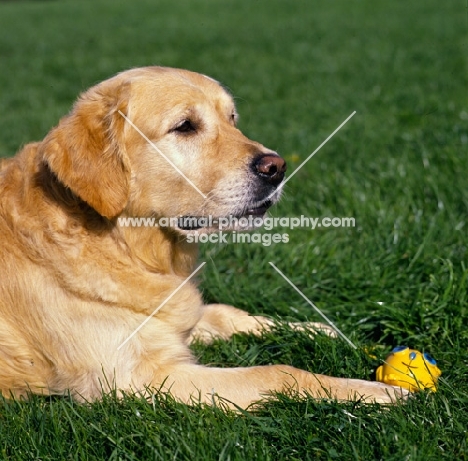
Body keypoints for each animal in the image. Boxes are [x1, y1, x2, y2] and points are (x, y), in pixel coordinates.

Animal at [0, 66, 406, 408]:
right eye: (185, 126)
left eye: (232, 119)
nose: (276, 168)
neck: (126, 246)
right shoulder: (135, 379)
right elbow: (277, 372)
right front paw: (377, 391)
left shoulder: (180, 318)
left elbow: (230, 314)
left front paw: (326, 332)